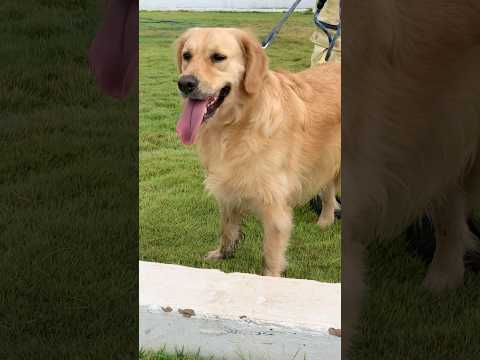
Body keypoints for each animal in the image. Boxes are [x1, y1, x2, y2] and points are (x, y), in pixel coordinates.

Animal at [174, 28, 340, 278]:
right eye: (187, 56)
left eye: (218, 57)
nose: (185, 83)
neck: (237, 124)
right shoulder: (227, 187)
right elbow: (227, 227)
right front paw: (222, 254)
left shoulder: (275, 207)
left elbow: (270, 256)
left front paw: (269, 279)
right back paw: (325, 221)